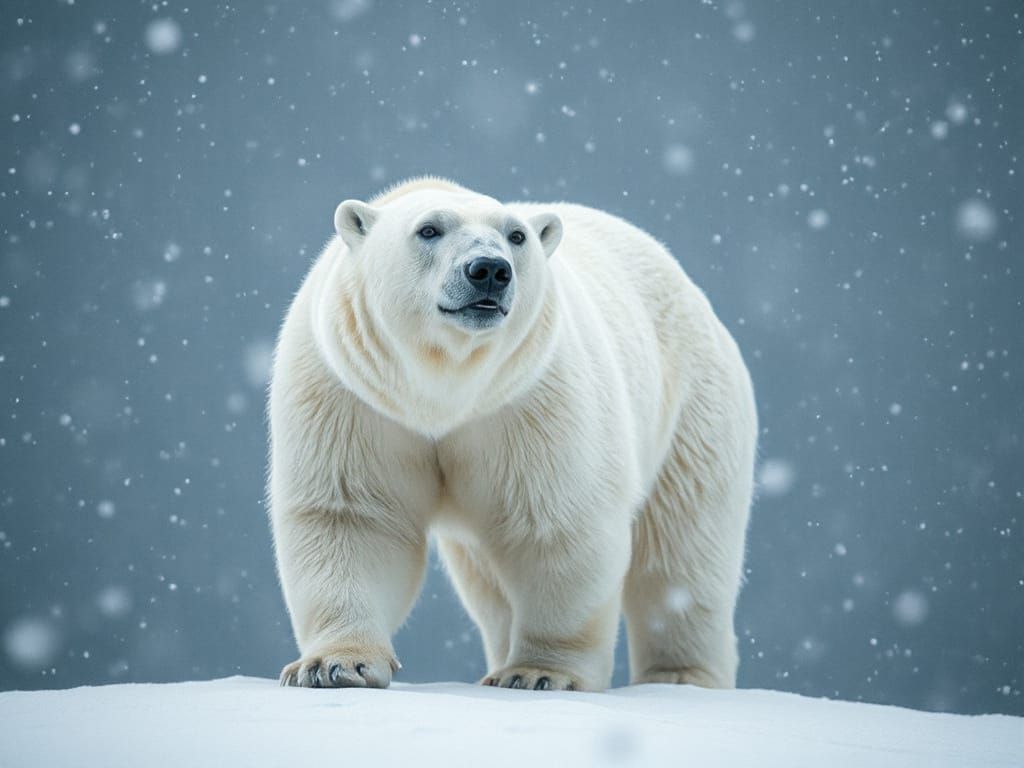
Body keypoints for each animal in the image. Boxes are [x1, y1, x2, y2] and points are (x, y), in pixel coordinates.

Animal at [269, 177, 757, 691]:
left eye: (516, 236)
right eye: (429, 229)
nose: (489, 269)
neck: (444, 391)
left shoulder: (534, 399)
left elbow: (560, 524)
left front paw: (539, 673)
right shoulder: (351, 396)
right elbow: (353, 517)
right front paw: (335, 666)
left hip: (692, 411)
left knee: (681, 553)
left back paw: (681, 677)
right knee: (489, 582)